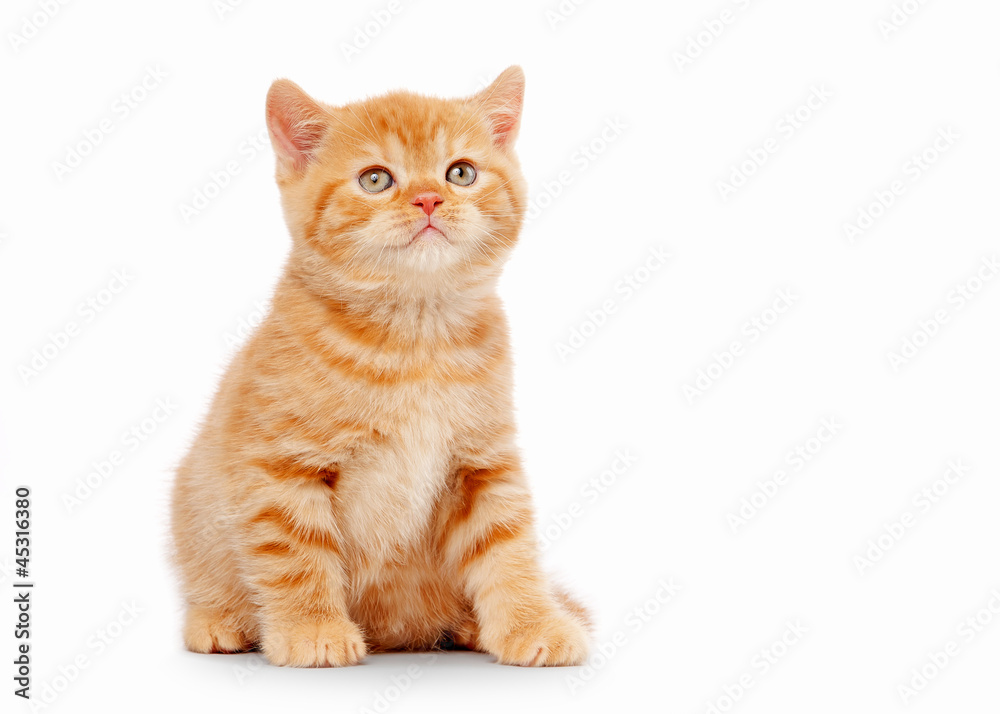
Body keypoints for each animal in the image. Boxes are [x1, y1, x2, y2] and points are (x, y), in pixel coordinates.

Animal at [169, 64, 588, 664]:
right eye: (375, 180)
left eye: (461, 173)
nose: (429, 200)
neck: (415, 338)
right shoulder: (282, 465)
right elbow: (295, 553)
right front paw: (313, 629)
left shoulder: (483, 462)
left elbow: (508, 545)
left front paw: (534, 623)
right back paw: (217, 621)